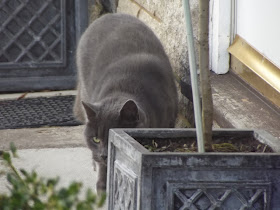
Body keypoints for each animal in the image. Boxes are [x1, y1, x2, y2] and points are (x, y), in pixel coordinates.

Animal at [74, 13, 177, 192]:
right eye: (96, 139)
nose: (104, 154)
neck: (124, 89)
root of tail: (108, 15)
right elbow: (103, 170)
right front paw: (103, 186)